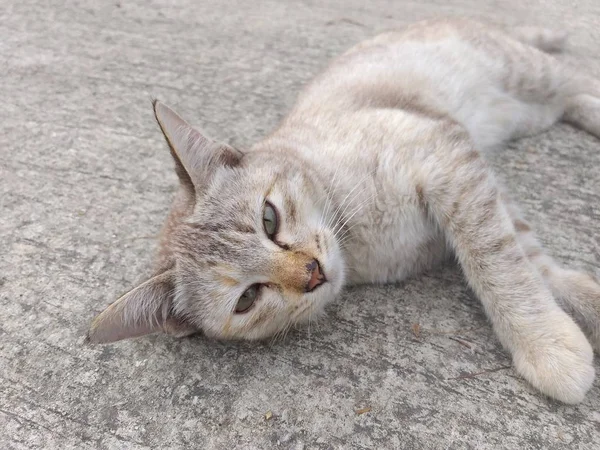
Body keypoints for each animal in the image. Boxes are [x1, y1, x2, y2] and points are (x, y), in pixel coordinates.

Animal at [86, 17, 600, 404]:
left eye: (269, 219)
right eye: (246, 299)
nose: (312, 272)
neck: (357, 240)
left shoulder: (445, 158)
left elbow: (498, 263)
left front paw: (545, 342)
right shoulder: (472, 179)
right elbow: (526, 255)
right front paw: (580, 306)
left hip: (523, 71)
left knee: (575, 74)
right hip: (531, 110)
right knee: (568, 99)